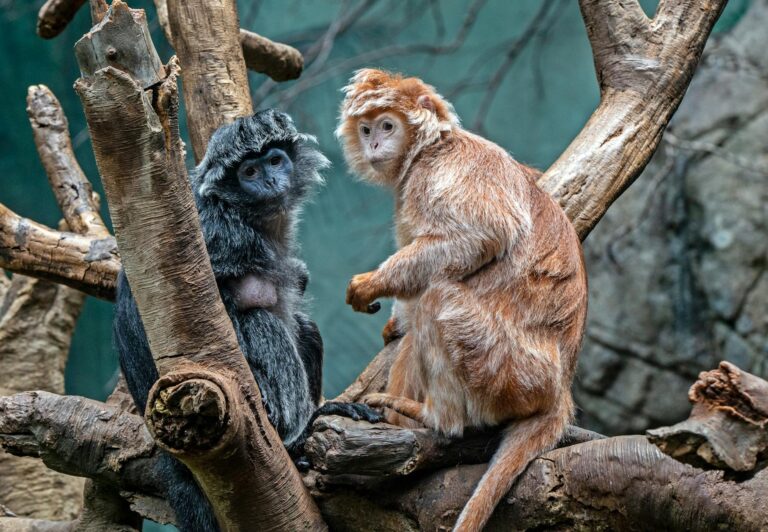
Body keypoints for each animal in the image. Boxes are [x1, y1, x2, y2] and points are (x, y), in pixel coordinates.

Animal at [114, 109, 379, 532]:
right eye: (249, 172)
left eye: (274, 161)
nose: (270, 181)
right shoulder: (218, 235)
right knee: (260, 322)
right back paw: (300, 435)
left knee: (304, 327)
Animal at [336, 69, 588, 532]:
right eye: (366, 130)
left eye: (387, 126)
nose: (374, 145)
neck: (432, 145)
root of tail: (560, 391)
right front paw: (393, 321)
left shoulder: (437, 173)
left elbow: (481, 236)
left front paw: (372, 284)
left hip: (508, 371)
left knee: (436, 297)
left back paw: (431, 417)